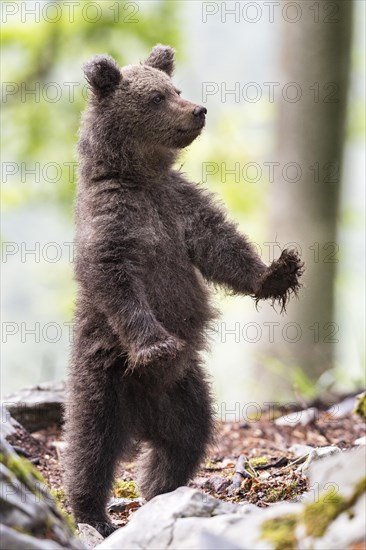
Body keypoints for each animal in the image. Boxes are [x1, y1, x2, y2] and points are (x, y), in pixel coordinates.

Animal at [63, 45, 304, 536]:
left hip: (183, 391)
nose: (198, 109)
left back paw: (158, 486)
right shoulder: (114, 218)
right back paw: (93, 513)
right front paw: (156, 344)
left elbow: (221, 246)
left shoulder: (180, 207)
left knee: (187, 438)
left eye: (175, 88)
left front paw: (278, 272)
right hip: (104, 377)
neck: (141, 176)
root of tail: (142, 420)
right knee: (90, 445)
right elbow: (115, 278)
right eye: (156, 97)